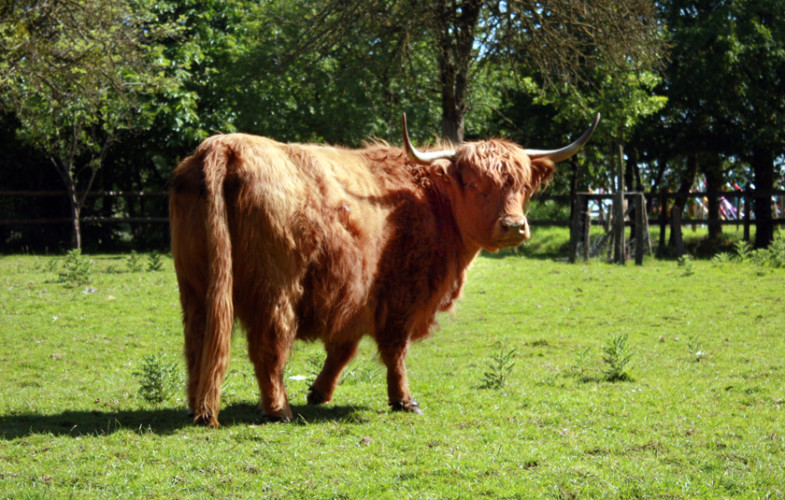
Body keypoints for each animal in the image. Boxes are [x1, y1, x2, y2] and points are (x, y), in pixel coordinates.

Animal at [170, 112, 600, 426]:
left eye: (523, 186)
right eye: (477, 185)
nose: (514, 226)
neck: (431, 199)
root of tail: (225, 145)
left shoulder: (357, 295)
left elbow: (343, 348)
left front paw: (320, 392)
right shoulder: (402, 294)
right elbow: (395, 350)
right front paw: (404, 400)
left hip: (197, 287)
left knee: (197, 341)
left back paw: (197, 406)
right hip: (277, 288)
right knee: (269, 344)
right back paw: (280, 409)